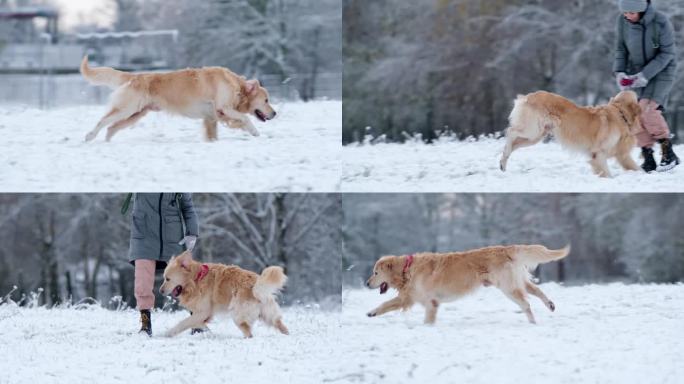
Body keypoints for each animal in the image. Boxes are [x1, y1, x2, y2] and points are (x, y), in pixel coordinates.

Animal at [78, 56, 276, 142]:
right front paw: (254, 131)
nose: (275, 113)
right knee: (104, 121)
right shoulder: (224, 107)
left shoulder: (212, 116)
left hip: (135, 114)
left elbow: (215, 132)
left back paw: (107, 141)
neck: (236, 86)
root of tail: (135, 76)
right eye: (266, 100)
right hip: (126, 109)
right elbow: (244, 117)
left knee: (111, 128)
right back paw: (89, 136)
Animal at [160, 250, 288, 338]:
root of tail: (255, 286)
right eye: (164, 278)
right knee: (280, 325)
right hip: (268, 315)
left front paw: (167, 333)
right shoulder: (203, 315)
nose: (160, 291)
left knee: (248, 332)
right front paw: (208, 332)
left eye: (167, 279)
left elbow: (183, 323)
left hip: (237, 315)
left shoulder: (202, 312)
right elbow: (197, 324)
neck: (196, 278)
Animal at [366, 244, 568, 322]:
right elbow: (387, 304)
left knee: (526, 304)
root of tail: (505, 249)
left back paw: (533, 322)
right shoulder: (410, 297)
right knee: (537, 291)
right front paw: (371, 312)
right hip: (517, 282)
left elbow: (426, 318)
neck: (407, 269)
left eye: (375, 273)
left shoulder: (430, 301)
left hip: (508, 287)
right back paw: (550, 305)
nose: (367, 283)